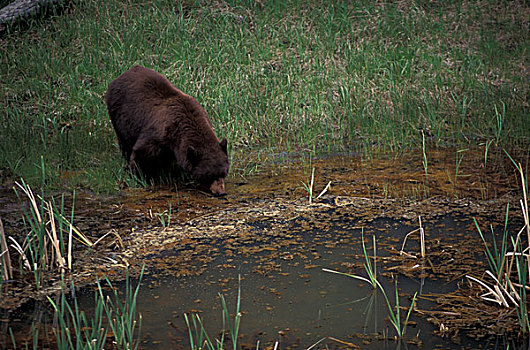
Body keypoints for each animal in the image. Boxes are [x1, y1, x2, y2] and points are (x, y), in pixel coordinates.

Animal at [104, 66, 228, 196]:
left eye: (224, 172)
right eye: (209, 175)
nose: (221, 192)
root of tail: (122, 75)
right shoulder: (159, 135)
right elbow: (141, 153)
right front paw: (139, 178)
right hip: (120, 116)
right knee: (125, 143)